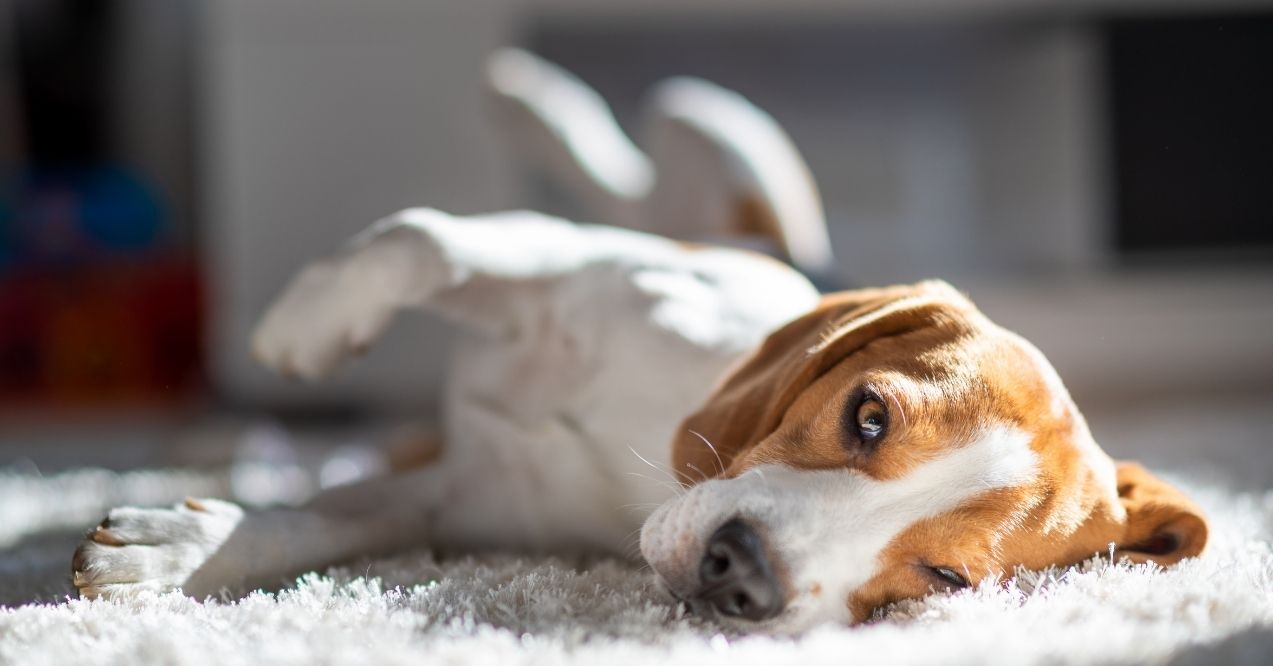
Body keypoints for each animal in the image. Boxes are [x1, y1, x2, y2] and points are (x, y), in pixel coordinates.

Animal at [69, 50, 1201, 631]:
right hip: (711, 150)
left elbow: (326, 525)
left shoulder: (457, 501)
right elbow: (422, 237)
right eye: (868, 413)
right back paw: (531, 97)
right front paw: (304, 326)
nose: (741, 578)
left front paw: (174, 552)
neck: (651, 445)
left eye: (947, 580)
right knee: (638, 158)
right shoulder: (573, 262)